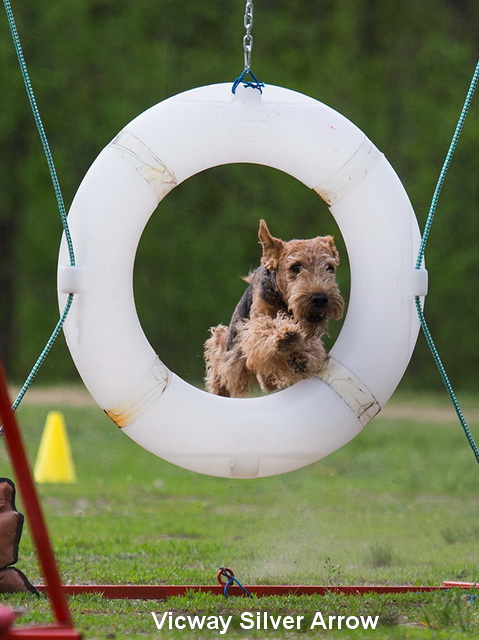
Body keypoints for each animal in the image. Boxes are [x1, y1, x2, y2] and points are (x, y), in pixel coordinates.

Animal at [204, 220, 344, 397]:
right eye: (296, 267)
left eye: (330, 267)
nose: (320, 299)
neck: (284, 303)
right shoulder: (255, 325)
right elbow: (266, 329)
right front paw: (286, 334)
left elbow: (310, 348)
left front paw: (301, 356)